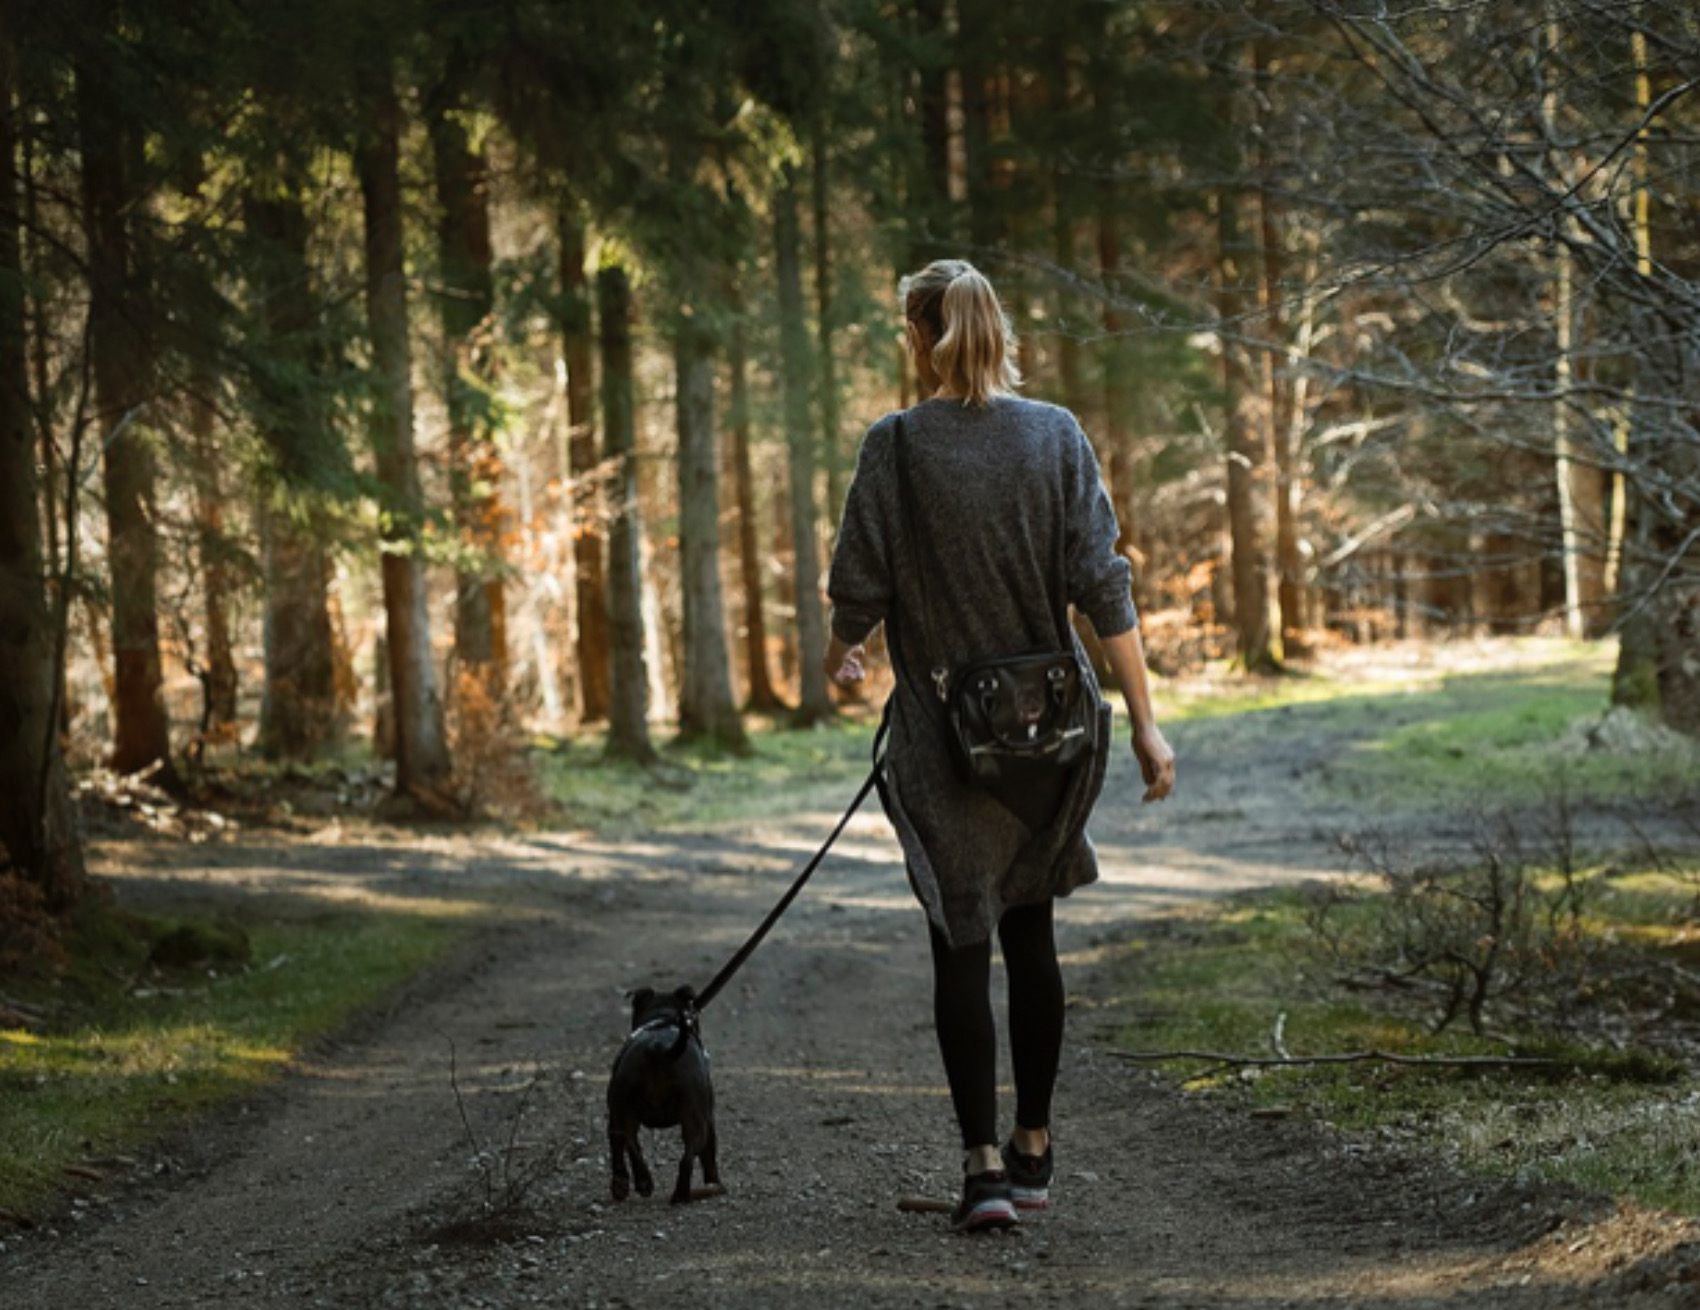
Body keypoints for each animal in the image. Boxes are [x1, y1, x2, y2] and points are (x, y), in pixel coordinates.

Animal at [605, 992, 717, 1202]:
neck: (662, 1019)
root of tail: (657, 1049)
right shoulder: (710, 1119)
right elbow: (710, 1158)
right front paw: (714, 1183)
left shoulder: (614, 1117)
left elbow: (617, 1149)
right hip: (698, 1122)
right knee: (687, 1157)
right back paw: (680, 1194)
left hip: (623, 1112)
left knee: (629, 1141)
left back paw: (643, 1182)